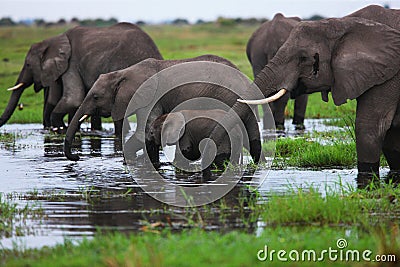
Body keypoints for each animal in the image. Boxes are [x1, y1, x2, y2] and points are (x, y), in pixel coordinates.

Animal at [1, 22, 161, 132]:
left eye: (28, 64)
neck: (54, 39)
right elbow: (58, 98)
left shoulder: (72, 63)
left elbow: (73, 99)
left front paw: (59, 129)